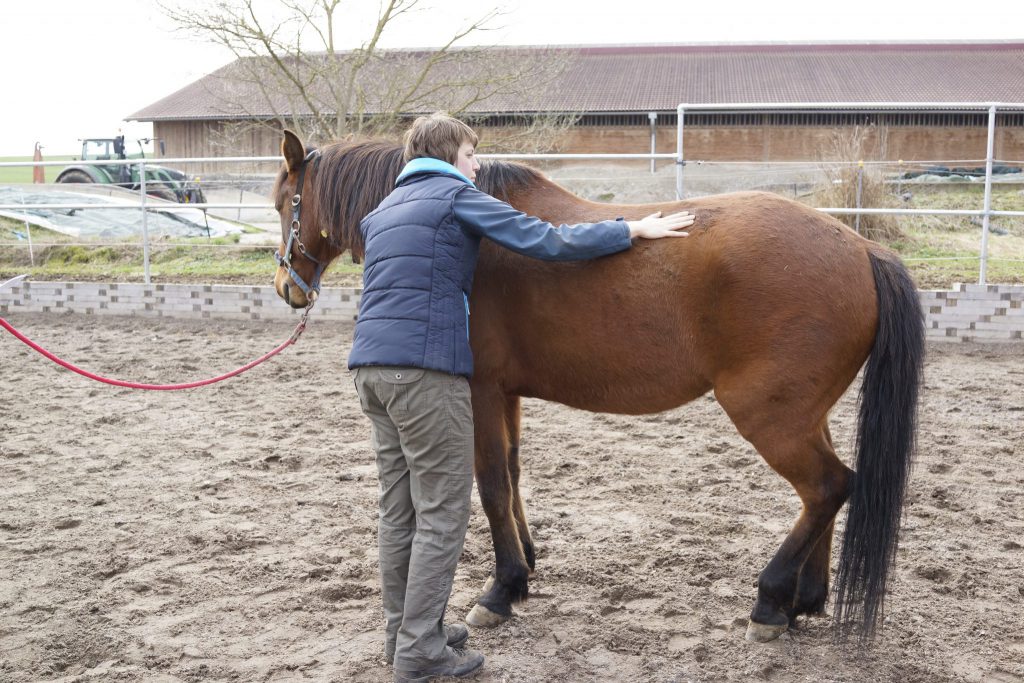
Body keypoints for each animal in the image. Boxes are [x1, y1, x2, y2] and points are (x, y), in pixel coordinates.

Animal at [272, 131, 929, 643]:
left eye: (285, 202)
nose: (287, 288)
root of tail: (861, 247)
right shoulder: (506, 393)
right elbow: (513, 474)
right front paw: (526, 566)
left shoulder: (480, 390)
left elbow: (490, 483)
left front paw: (501, 590)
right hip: (799, 412)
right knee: (826, 492)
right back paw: (805, 600)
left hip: (768, 415)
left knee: (827, 486)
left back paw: (770, 602)